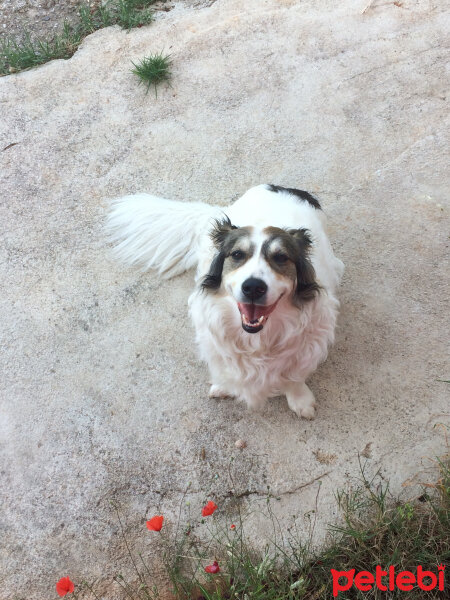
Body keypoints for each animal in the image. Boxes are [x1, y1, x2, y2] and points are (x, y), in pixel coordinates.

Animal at [106, 183, 344, 418]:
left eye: (281, 257)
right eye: (237, 254)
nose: (253, 287)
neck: (257, 341)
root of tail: (280, 186)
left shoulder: (309, 342)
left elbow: (295, 377)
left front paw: (300, 399)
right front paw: (225, 386)